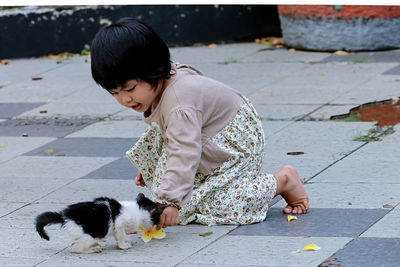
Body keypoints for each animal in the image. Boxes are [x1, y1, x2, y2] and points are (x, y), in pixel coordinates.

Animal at [35, 194, 168, 254]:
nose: (157, 226)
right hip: (88, 235)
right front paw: (123, 245)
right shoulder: (118, 224)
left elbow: (122, 235)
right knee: (75, 248)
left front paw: (126, 241)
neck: (137, 209)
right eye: (157, 219)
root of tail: (64, 216)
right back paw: (93, 249)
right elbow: (120, 235)